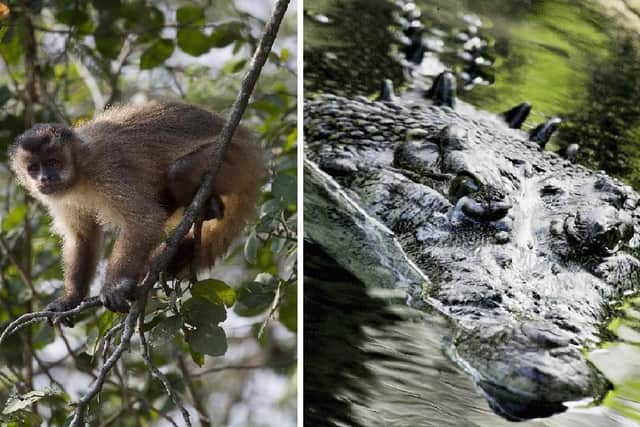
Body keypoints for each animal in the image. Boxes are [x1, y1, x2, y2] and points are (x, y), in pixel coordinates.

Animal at [9, 101, 265, 316]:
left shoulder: (107, 169)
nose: (44, 178)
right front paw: (71, 299)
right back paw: (212, 209)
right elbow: (82, 238)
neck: (80, 172)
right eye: (34, 168)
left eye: (53, 163)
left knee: (179, 172)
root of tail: (249, 142)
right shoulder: (60, 197)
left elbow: (144, 220)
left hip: (235, 158)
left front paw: (114, 286)